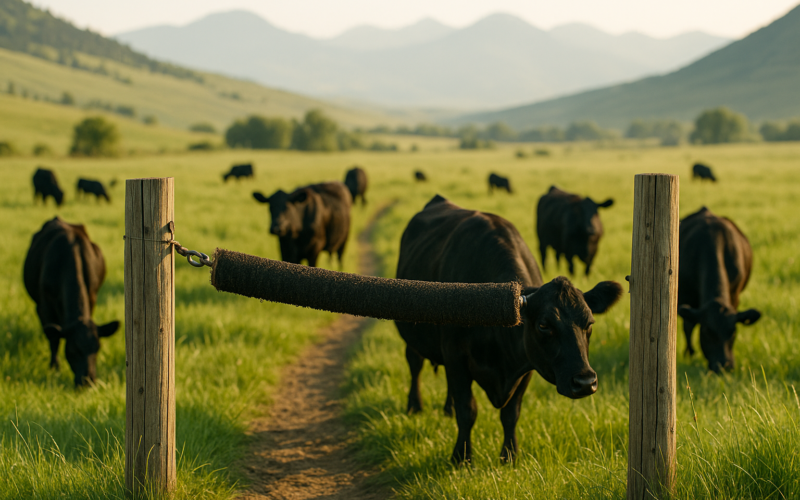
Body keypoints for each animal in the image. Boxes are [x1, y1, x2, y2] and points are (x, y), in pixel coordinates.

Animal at [23, 217, 120, 387]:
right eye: (73, 350)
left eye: (98, 348)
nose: (88, 382)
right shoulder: (44, 306)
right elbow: (54, 339)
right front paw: (54, 368)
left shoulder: (92, 297)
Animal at [395, 195, 623, 464]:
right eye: (544, 325)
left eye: (589, 323)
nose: (585, 382)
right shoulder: (455, 356)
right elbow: (467, 410)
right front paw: (462, 457)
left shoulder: (527, 364)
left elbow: (511, 413)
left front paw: (509, 457)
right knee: (415, 365)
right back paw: (414, 406)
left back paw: (446, 409)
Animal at [677, 207, 761, 373]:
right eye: (707, 332)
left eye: (733, 331)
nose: (724, 366)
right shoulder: (686, 297)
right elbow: (688, 326)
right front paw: (690, 353)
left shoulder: (734, 296)